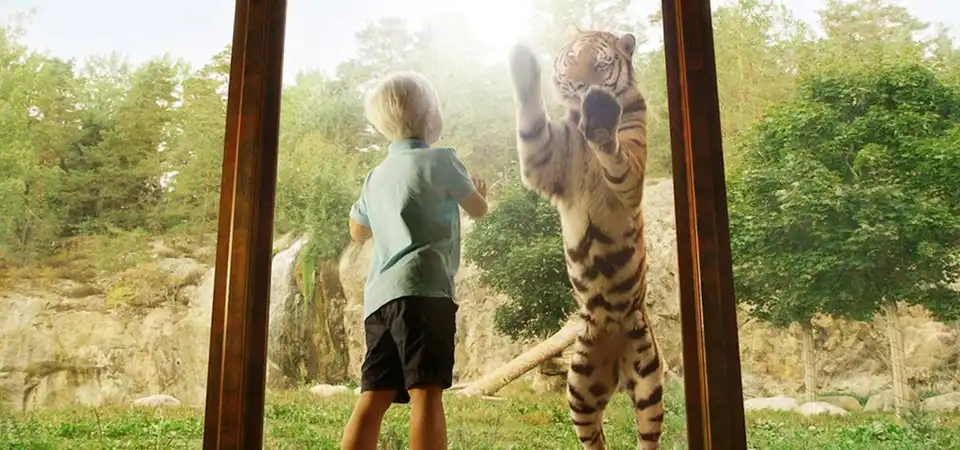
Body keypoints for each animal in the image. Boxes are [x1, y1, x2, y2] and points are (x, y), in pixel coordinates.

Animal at [507, 29, 664, 450]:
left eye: (601, 62)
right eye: (571, 60)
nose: (580, 86)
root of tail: (616, 369)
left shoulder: (631, 177)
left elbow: (614, 154)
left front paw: (602, 115)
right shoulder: (544, 163)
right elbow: (531, 124)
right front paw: (523, 63)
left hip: (649, 380)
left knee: (648, 435)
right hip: (579, 385)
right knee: (594, 438)